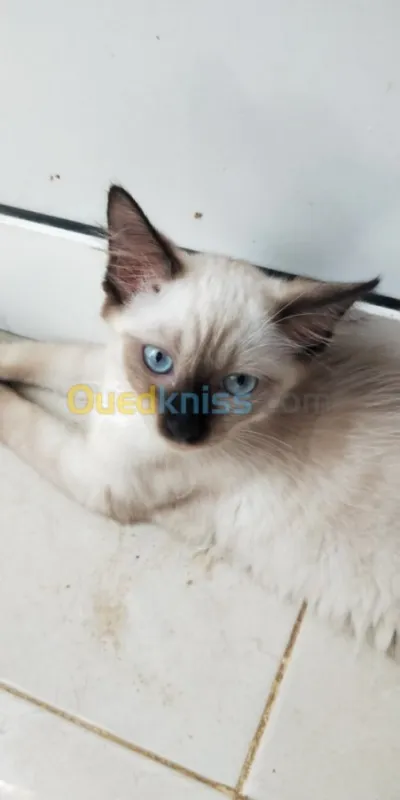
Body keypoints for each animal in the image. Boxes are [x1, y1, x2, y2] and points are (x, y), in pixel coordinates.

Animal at [0, 184, 399, 657]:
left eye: (239, 384)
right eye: (157, 360)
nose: (182, 431)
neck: (130, 419)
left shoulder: (97, 478)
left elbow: (21, 418)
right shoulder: (107, 378)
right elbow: (42, 355)